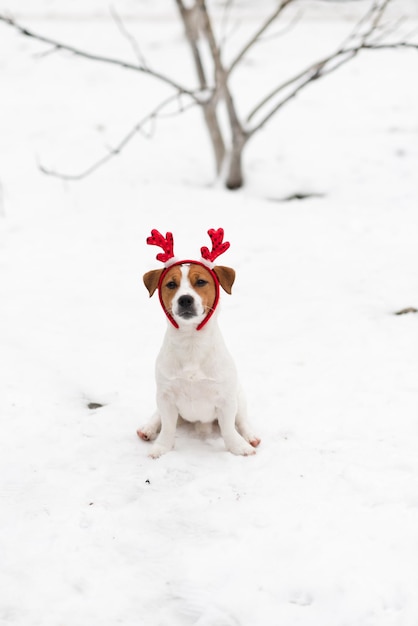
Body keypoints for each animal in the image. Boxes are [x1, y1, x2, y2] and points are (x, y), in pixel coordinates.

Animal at [137, 229, 262, 458]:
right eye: (171, 284)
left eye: (201, 282)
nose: (185, 299)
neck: (191, 343)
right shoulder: (166, 396)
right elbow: (167, 427)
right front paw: (161, 447)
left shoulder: (226, 399)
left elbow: (229, 428)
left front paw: (238, 447)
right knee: (157, 415)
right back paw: (147, 429)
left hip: (239, 396)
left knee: (242, 421)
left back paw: (250, 437)